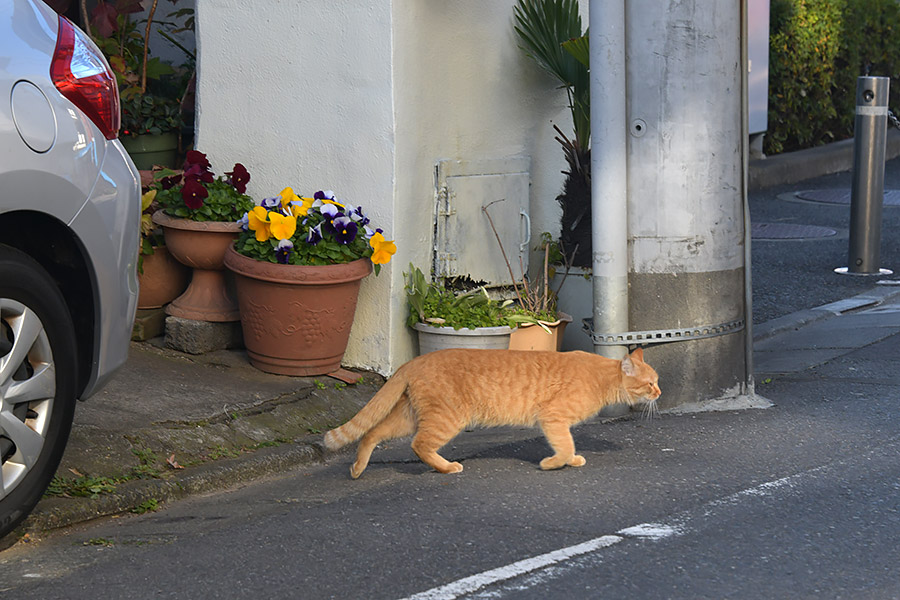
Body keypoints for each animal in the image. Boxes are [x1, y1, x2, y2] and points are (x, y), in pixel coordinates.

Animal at [326, 346, 660, 478]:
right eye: (650, 383)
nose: (659, 393)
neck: (602, 376)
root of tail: (415, 360)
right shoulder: (552, 417)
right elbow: (564, 446)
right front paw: (554, 463)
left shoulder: (556, 420)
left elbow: (569, 446)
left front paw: (572, 460)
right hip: (447, 418)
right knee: (419, 445)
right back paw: (448, 467)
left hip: (409, 416)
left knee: (371, 432)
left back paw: (357, 469)